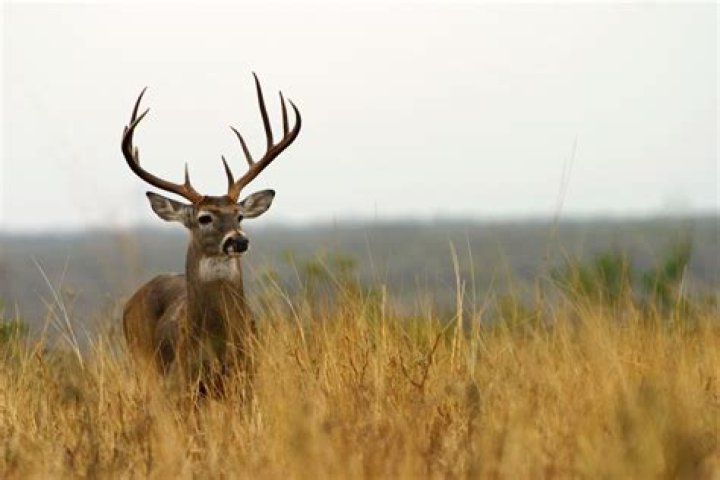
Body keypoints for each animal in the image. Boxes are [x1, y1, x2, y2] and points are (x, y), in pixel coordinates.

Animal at [120, 74, 301, 396]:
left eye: (239, 215)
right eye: (204, 218)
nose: (238, 240)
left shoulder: (248, 377)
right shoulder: (182, 383)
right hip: (144, 366)